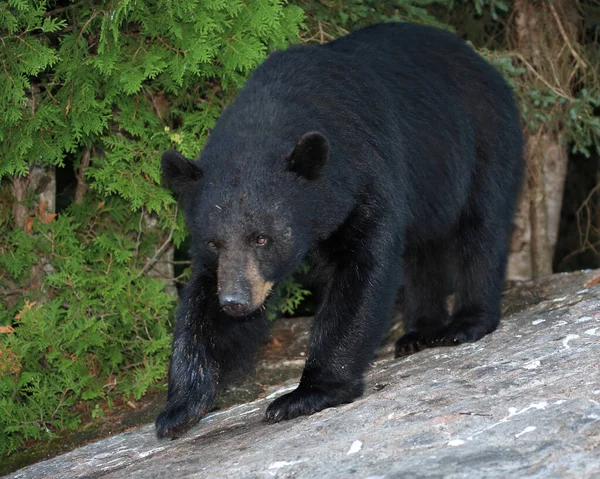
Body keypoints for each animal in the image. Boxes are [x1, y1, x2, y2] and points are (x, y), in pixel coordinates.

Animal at [157, 21, 524, 438]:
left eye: (263, 237)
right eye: (214, 242)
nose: (235, 301)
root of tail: (486, 64)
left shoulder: (367, 170)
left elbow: (363, 270)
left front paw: (307, 393)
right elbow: (201, 303)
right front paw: (180, 406)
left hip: (483, 139)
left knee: (480, 229)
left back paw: (466, 323)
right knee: (423, 251)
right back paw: (418, 333)